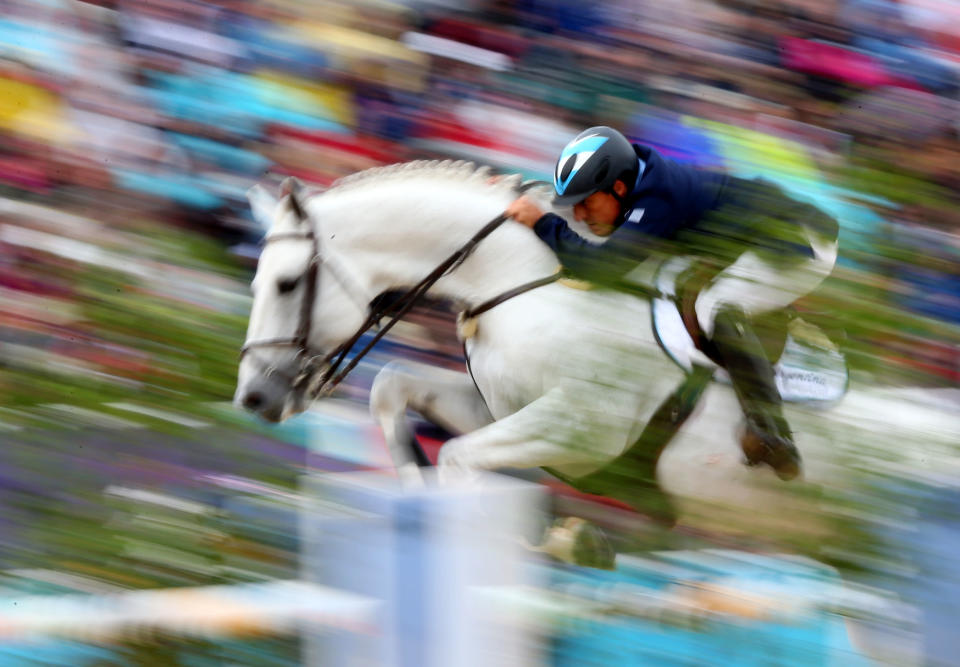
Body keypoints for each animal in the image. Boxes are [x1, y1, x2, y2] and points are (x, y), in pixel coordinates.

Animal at [238, 163, 960, 560]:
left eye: (285, 284)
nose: (253, 399)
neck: (516, 284)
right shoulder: (500, 408)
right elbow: (394, 388)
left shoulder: (579, 427)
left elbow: (460, 460)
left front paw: (561, 541)